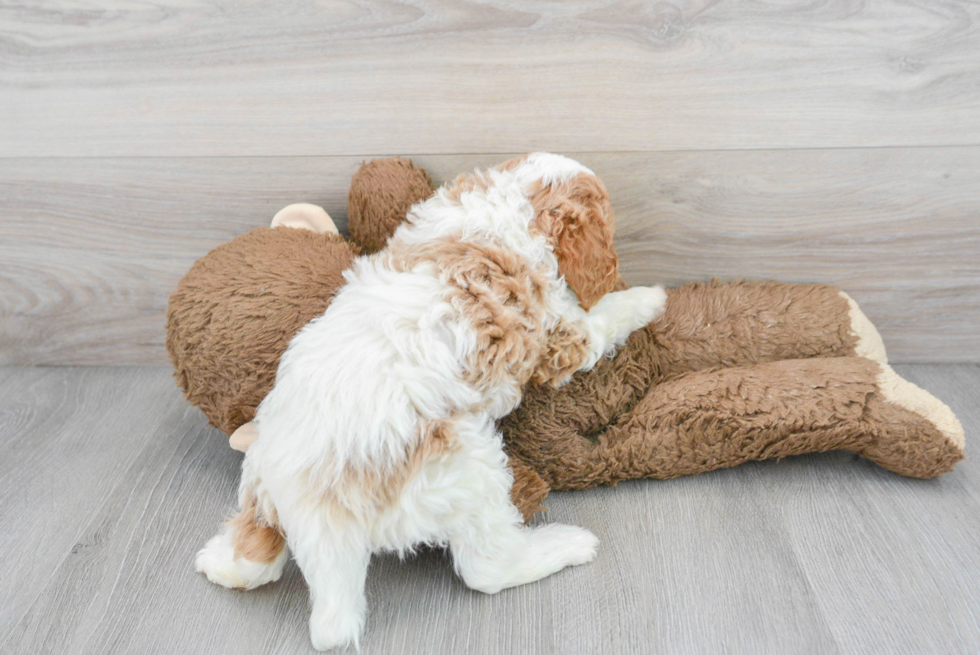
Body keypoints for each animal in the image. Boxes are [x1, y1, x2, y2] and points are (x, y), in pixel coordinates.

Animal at [195, 154, 668, 652]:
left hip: (260, 483)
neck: (506, 207)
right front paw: (649, 297)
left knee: (253, 555)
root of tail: (317, 510)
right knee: (487, 566)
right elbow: (601, 321)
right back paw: (564, 546)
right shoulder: (559, 339)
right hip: (464, 468)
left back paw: (218, 561)